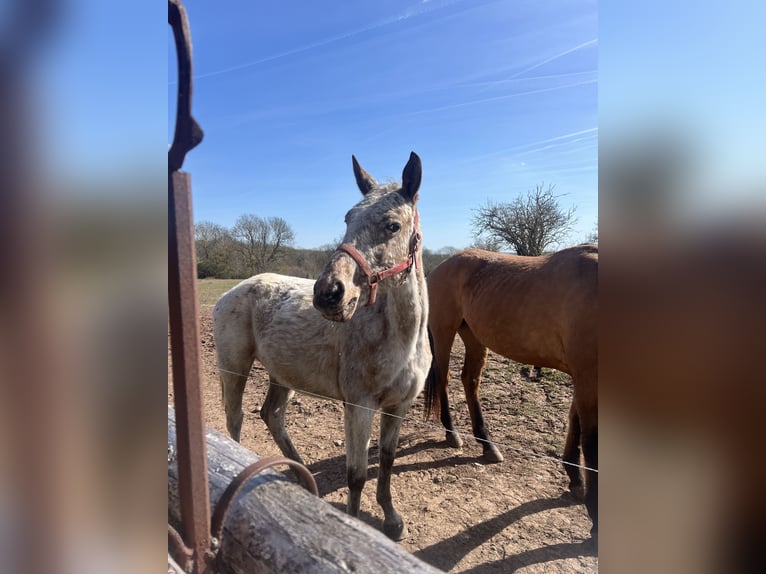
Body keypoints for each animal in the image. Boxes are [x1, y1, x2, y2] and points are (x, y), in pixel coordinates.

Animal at [213, 152, 430, 540]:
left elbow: (387, 460)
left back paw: (301, 476)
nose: (329, 292)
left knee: (272, 415)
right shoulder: (359, 406)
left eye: (392, 225)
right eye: (347, 219)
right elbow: (356, 475)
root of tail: (232, 292)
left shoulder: (398, 406)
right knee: (235, 419)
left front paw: (392, 520)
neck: (402, 339)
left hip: (281, 375)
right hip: (234, 368)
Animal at [423, 244, 598, 533]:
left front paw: (575, 480)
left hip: (473, 336)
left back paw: (487, 444)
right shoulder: (588, 378)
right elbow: (591, 445)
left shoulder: (583, 378)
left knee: (470, 381)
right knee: (443, 379)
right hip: (443, 331)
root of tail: (441, 265)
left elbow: (575, 425)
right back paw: (452, 433)